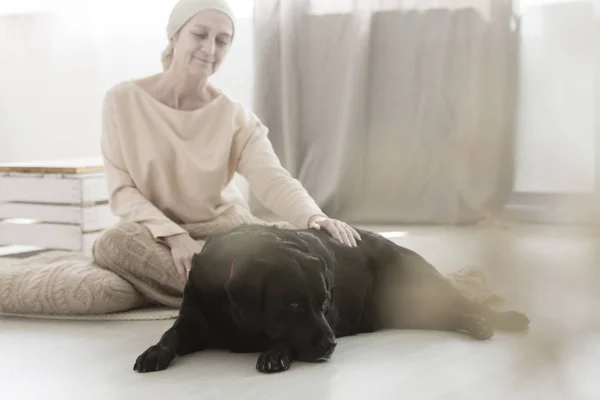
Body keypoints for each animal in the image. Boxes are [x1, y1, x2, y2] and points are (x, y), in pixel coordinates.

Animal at [134, 223, 528, 374]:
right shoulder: (191, 323)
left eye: (324, 304)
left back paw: (501, 320)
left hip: (420, 291)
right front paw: (154, 352)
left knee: (465, 302)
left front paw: (276, 352)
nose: (331, 346)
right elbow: (170, 335)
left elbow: (282, 340)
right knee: (454, 312)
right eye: (292, 305)